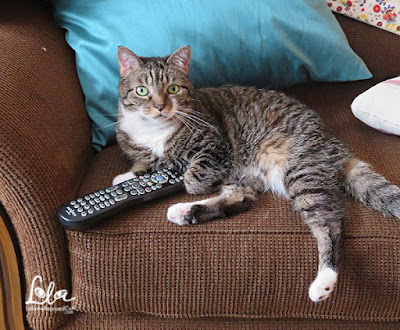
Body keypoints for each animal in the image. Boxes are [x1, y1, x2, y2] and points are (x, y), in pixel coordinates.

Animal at [113, 45, 400, 302]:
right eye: (142, 91)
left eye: (173, 89)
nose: (160, 106)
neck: (155, 133)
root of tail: (336, 145)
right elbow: (144, 165)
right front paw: (128, 178)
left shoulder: (215, 148)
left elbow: (191, 176)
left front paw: (175, 177)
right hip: (254, 177)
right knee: (242, 200)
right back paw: (184, 212)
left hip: (300, 173)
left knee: (330, 225)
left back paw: (324, 279)